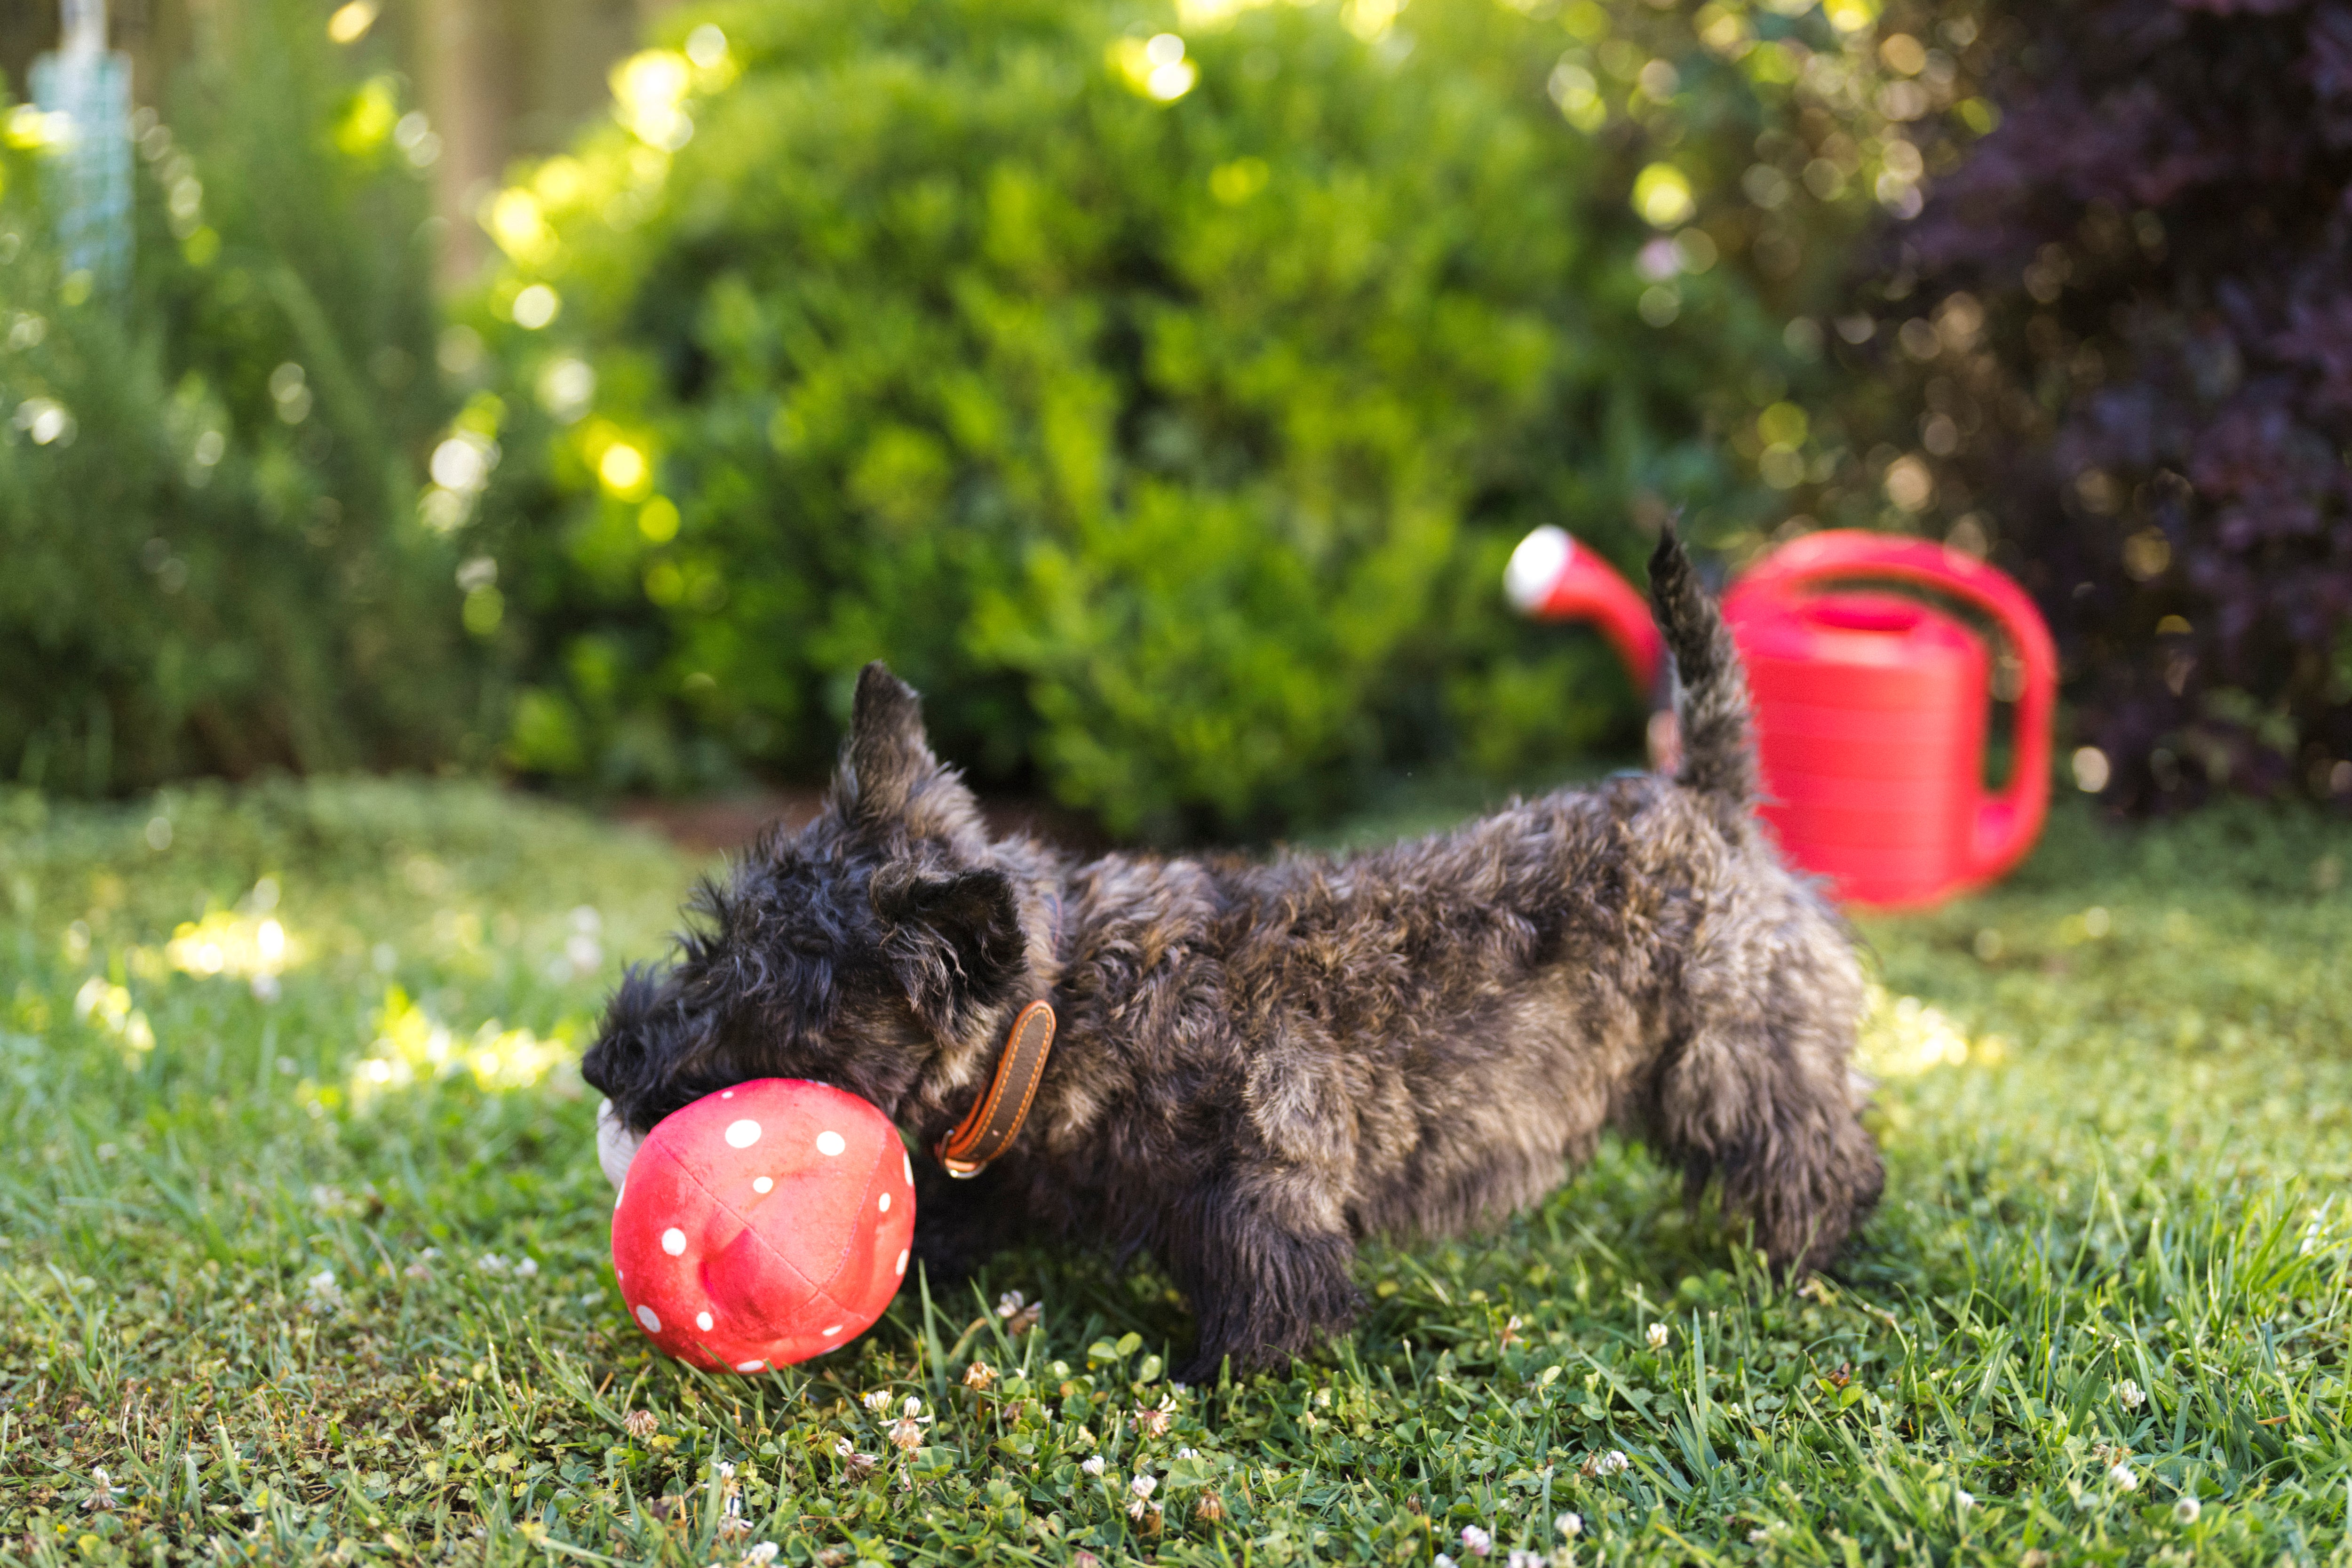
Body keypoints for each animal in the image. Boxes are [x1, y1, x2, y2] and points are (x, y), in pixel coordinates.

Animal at [583, 531, 1872, 1382]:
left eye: (766, 1009)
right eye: (711, 939)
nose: (603, 1063)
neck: (1060, 1015)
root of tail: (1706, 795)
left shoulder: (1261, 1190)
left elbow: (1266, 1294)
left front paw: (1225, 1380)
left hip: (1739, 1061)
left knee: (1816, 1158)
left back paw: (1807, 1262)